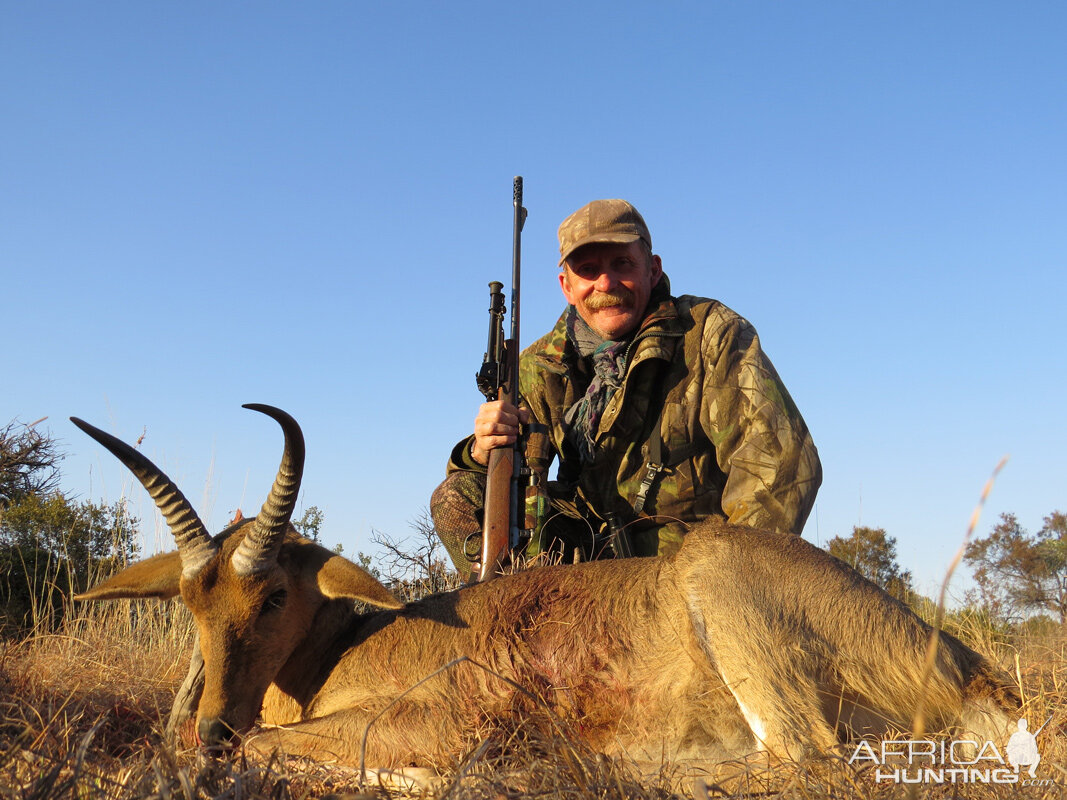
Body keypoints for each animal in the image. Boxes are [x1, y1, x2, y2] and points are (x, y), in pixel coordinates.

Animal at [73, 407, 1015, 772]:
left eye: (271, 597)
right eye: (192, 604)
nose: (207, 728)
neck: (342, 648)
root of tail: (970, 670)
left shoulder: (434, 722)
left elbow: (279, 746)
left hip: (730, 605)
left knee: (802, 756)